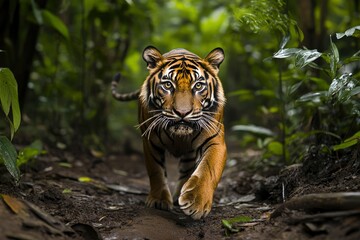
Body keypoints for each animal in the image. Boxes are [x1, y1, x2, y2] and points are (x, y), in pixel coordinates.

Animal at [111, 46, 226, 220]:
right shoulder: (150, 142)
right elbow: (156, 171)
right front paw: (159, 200)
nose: (182, 113)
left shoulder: (216, 141)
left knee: (186, 170)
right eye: (167, 85)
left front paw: (196, 203)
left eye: (198, 86)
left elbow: (208, 170)